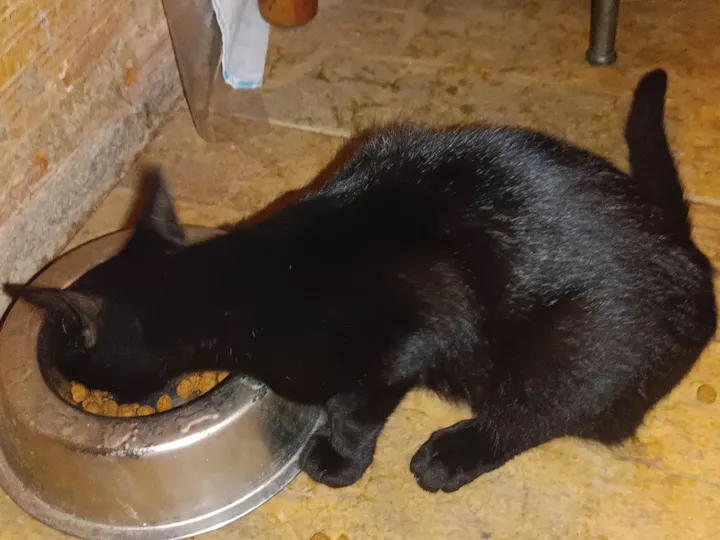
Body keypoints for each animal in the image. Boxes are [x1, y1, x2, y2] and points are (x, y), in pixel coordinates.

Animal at [6, 69, 716, 493]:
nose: (80, 385)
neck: (246, 285)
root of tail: (683, 245)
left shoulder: (411, 328)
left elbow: (355, 411)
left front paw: (338, 460)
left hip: (567, 351)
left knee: (537, 413)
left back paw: (454, 454)